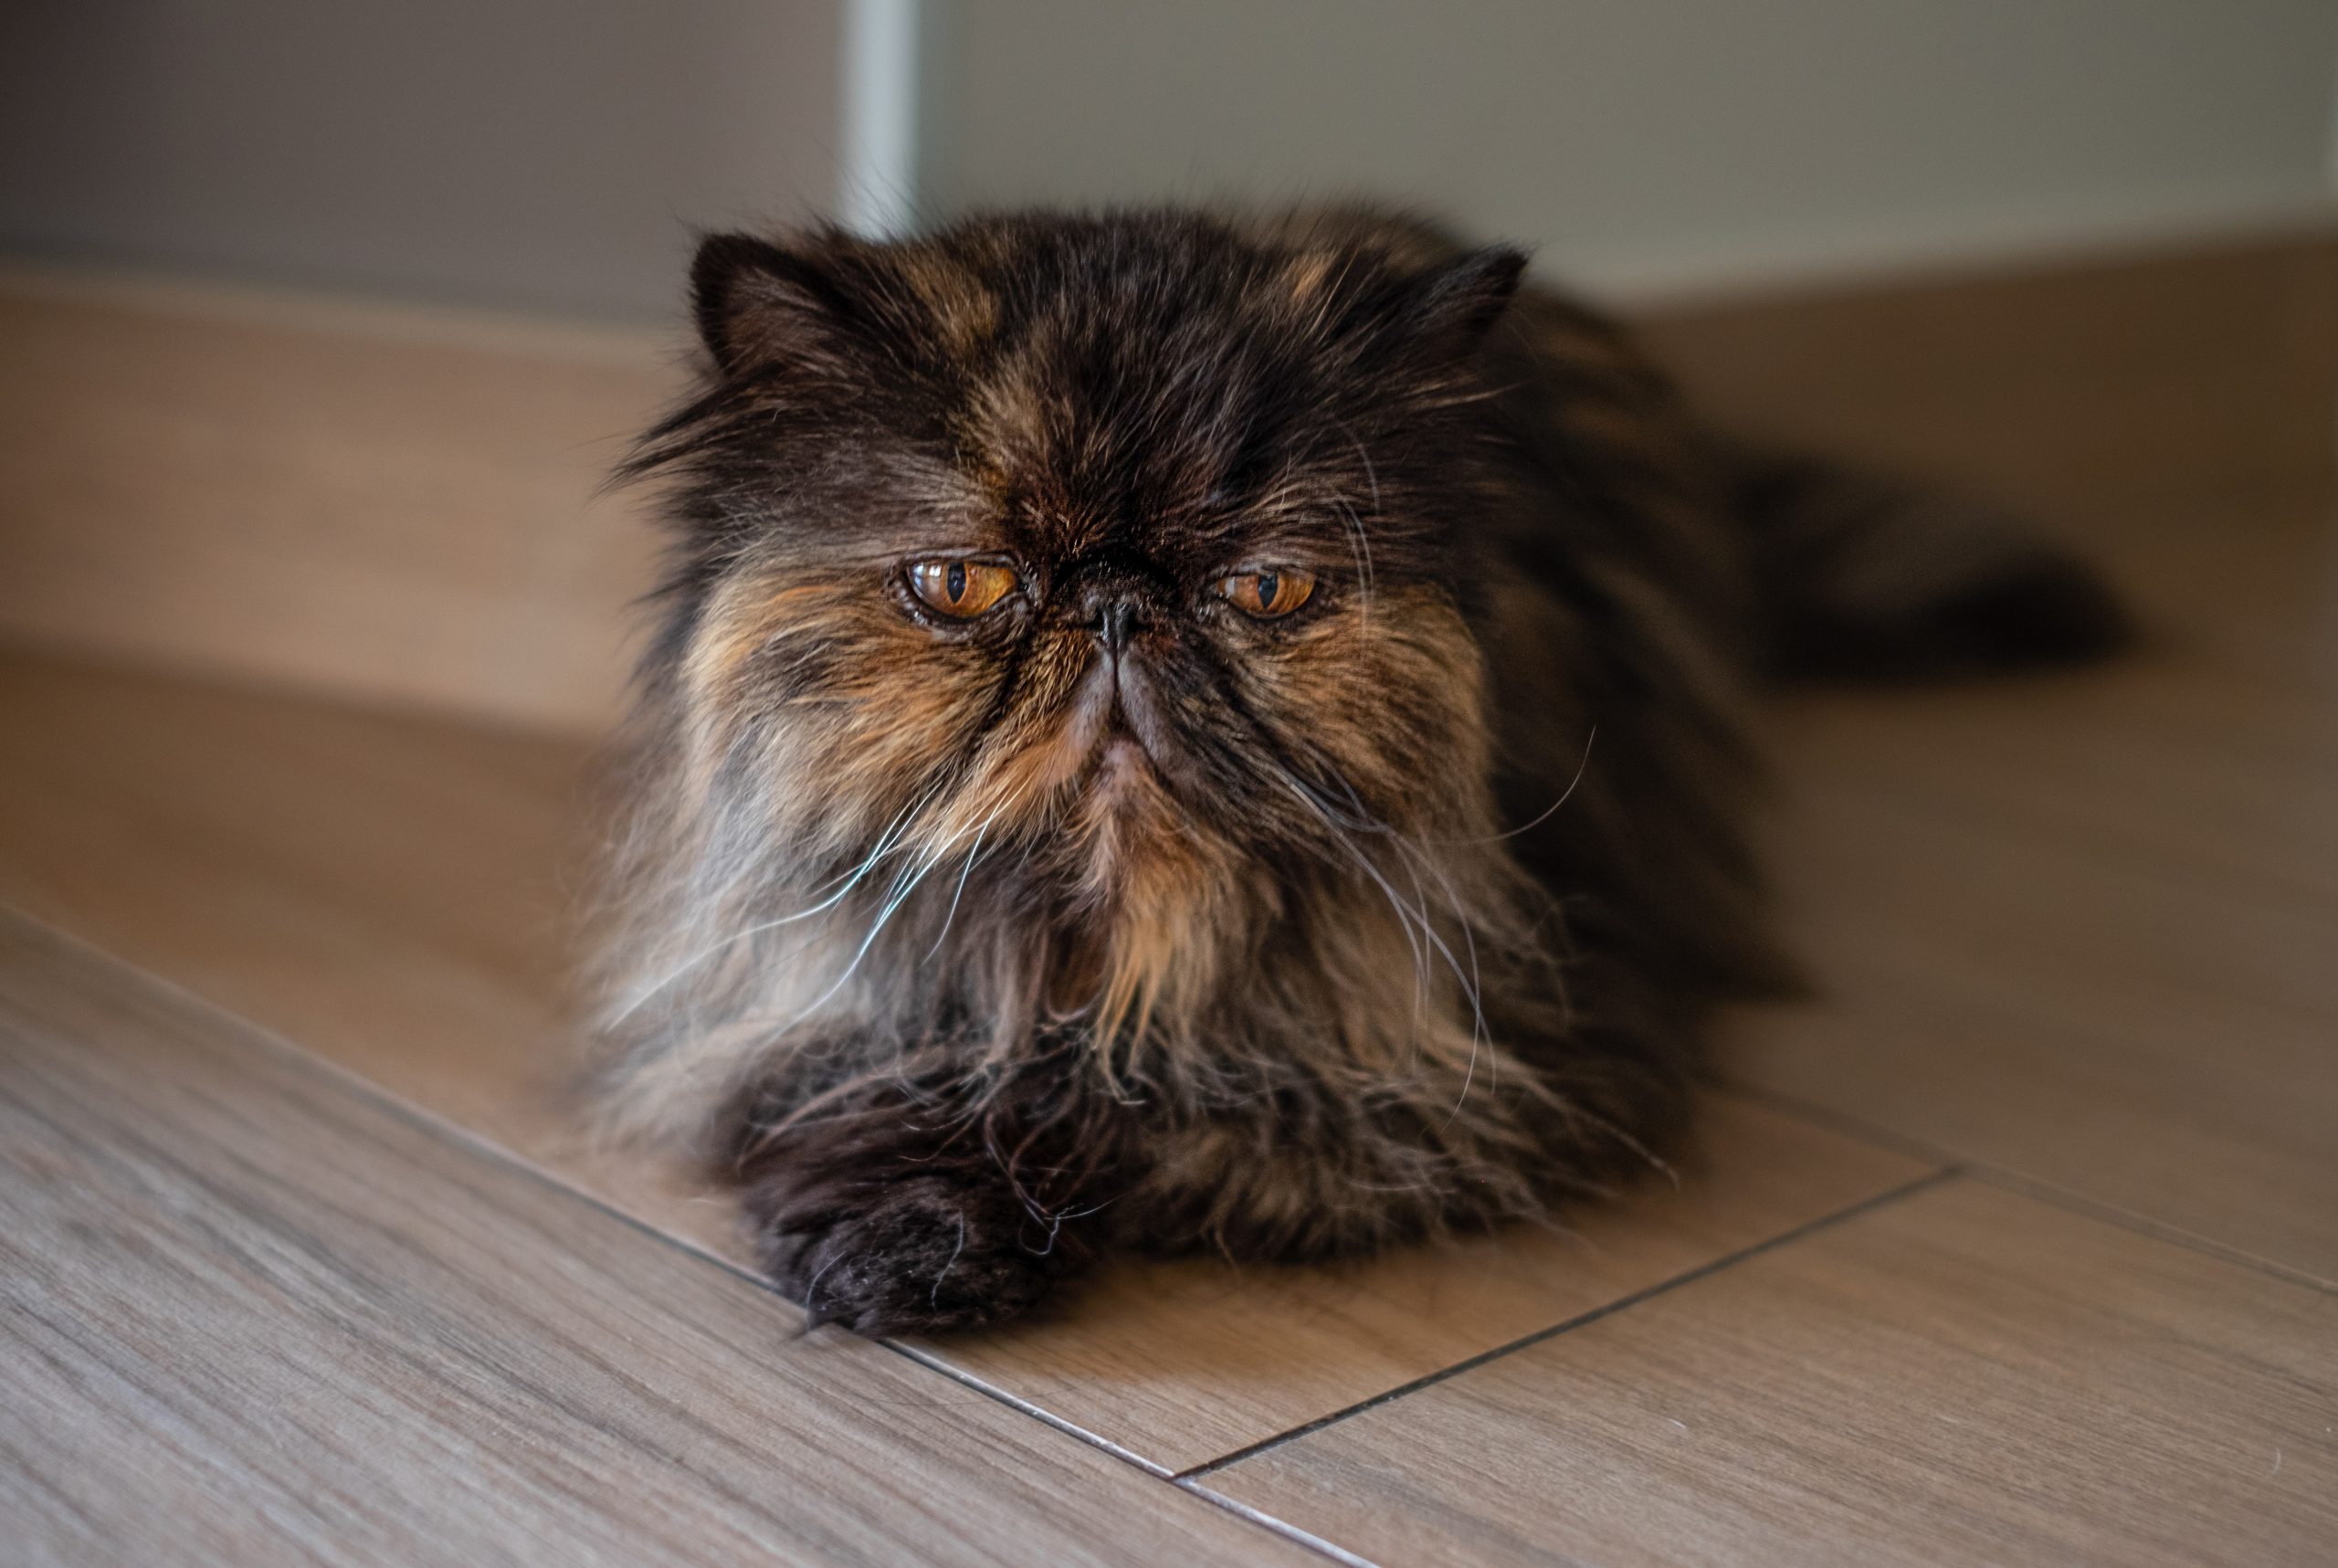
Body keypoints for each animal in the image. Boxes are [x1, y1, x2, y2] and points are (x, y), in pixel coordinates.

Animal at [594, 207, 2132, 1336]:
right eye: (962, 583)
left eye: (1266, 589)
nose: (1115, 606)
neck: (1113, 954)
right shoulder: (801, 1006)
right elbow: (874, 1087)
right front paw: (917, 1244)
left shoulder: (1522, 1059)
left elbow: (1207, 1122)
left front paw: (1071, 1165)